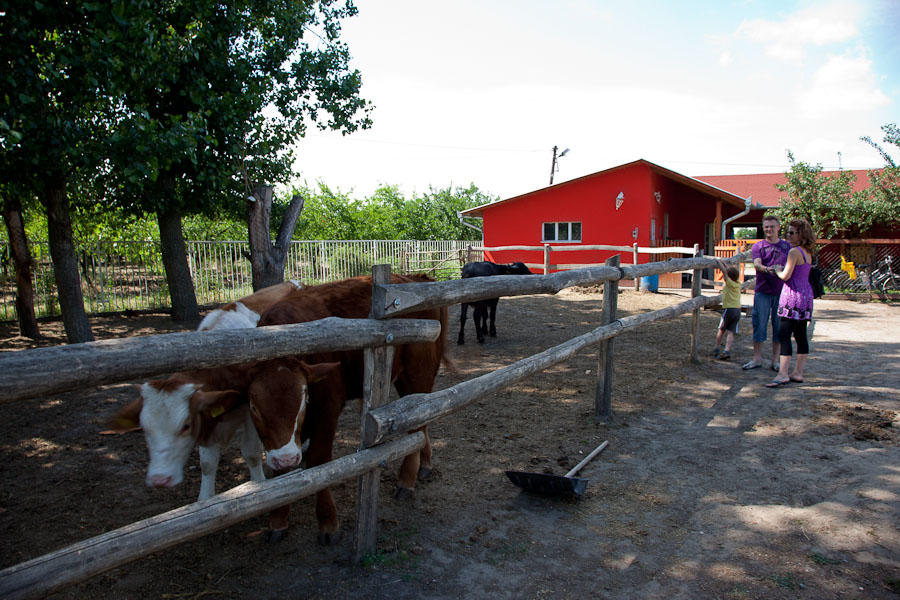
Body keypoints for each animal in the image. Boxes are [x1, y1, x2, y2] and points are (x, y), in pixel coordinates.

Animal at [109, 280, 303, 501]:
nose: (160, 479)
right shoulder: (208, 418)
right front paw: (205, 500)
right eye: (144, 428)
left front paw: (259, 485)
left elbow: (252, 453)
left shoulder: (250, 413)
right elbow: (208, 463)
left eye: (186, 425)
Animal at [248, 274, 448, 543]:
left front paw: (328, 523)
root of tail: (415, 278)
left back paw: (407, 480)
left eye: (303, 400)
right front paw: (278, 521)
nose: (286, 457)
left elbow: (319, 460)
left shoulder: (327, 408)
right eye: (254, 408)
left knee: (418, 422)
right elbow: (280, 473)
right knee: (421, 421)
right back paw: (424, 465)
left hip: (419, 373)